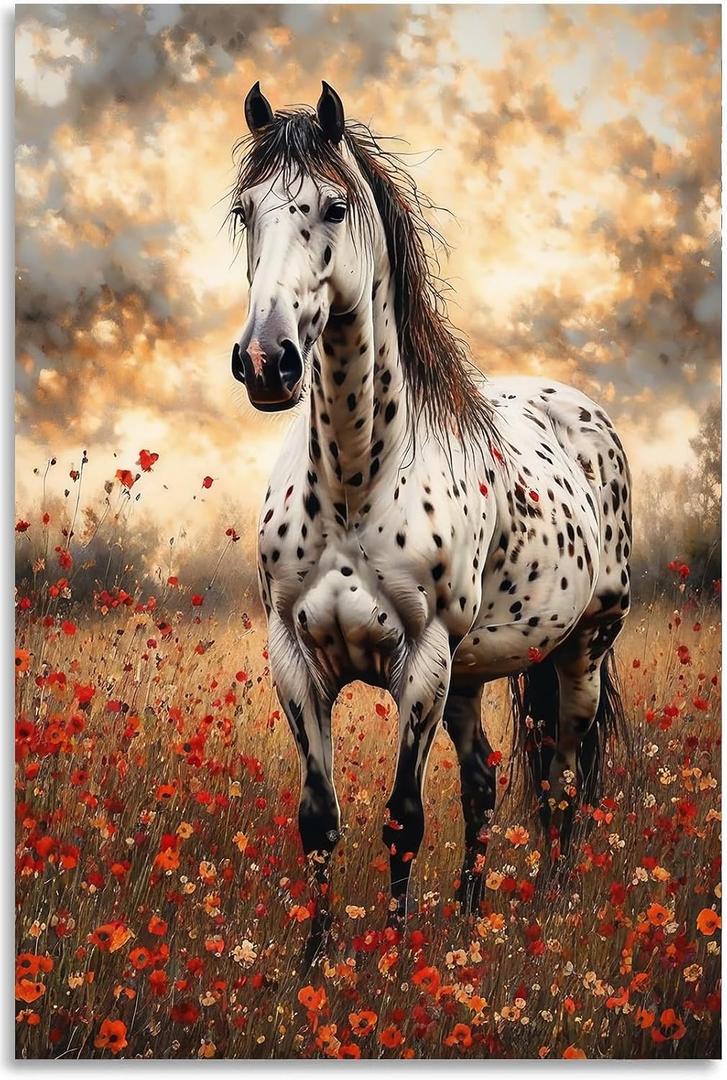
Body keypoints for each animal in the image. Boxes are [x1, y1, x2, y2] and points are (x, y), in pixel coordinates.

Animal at [228, 82, 632, 965]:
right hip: (471, 676)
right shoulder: (294, 661)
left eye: (334, 206)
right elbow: (319, 821)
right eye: (245, 210)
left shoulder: (420, 660)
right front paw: (314, 966)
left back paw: (550, 910)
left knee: (561, 778)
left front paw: (391, 962)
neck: (355, 481)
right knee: (483, 781)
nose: (266, 361)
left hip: (579, 650)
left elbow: (402, 820)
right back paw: (470, 918)